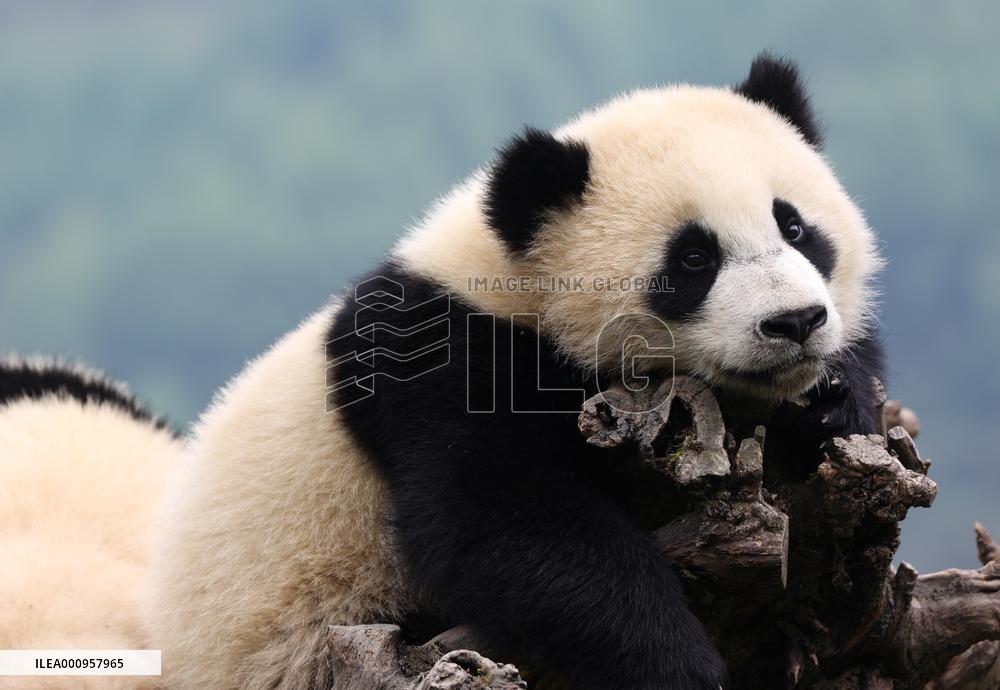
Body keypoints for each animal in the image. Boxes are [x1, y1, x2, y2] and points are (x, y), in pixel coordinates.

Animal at [148, 53, 883, 690]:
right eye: (694, 259)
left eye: (794, 227)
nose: (794, 322)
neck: (515, 278)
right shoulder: (442, 362)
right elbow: (501, 522)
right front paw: (678, 665)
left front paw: (834, 406)